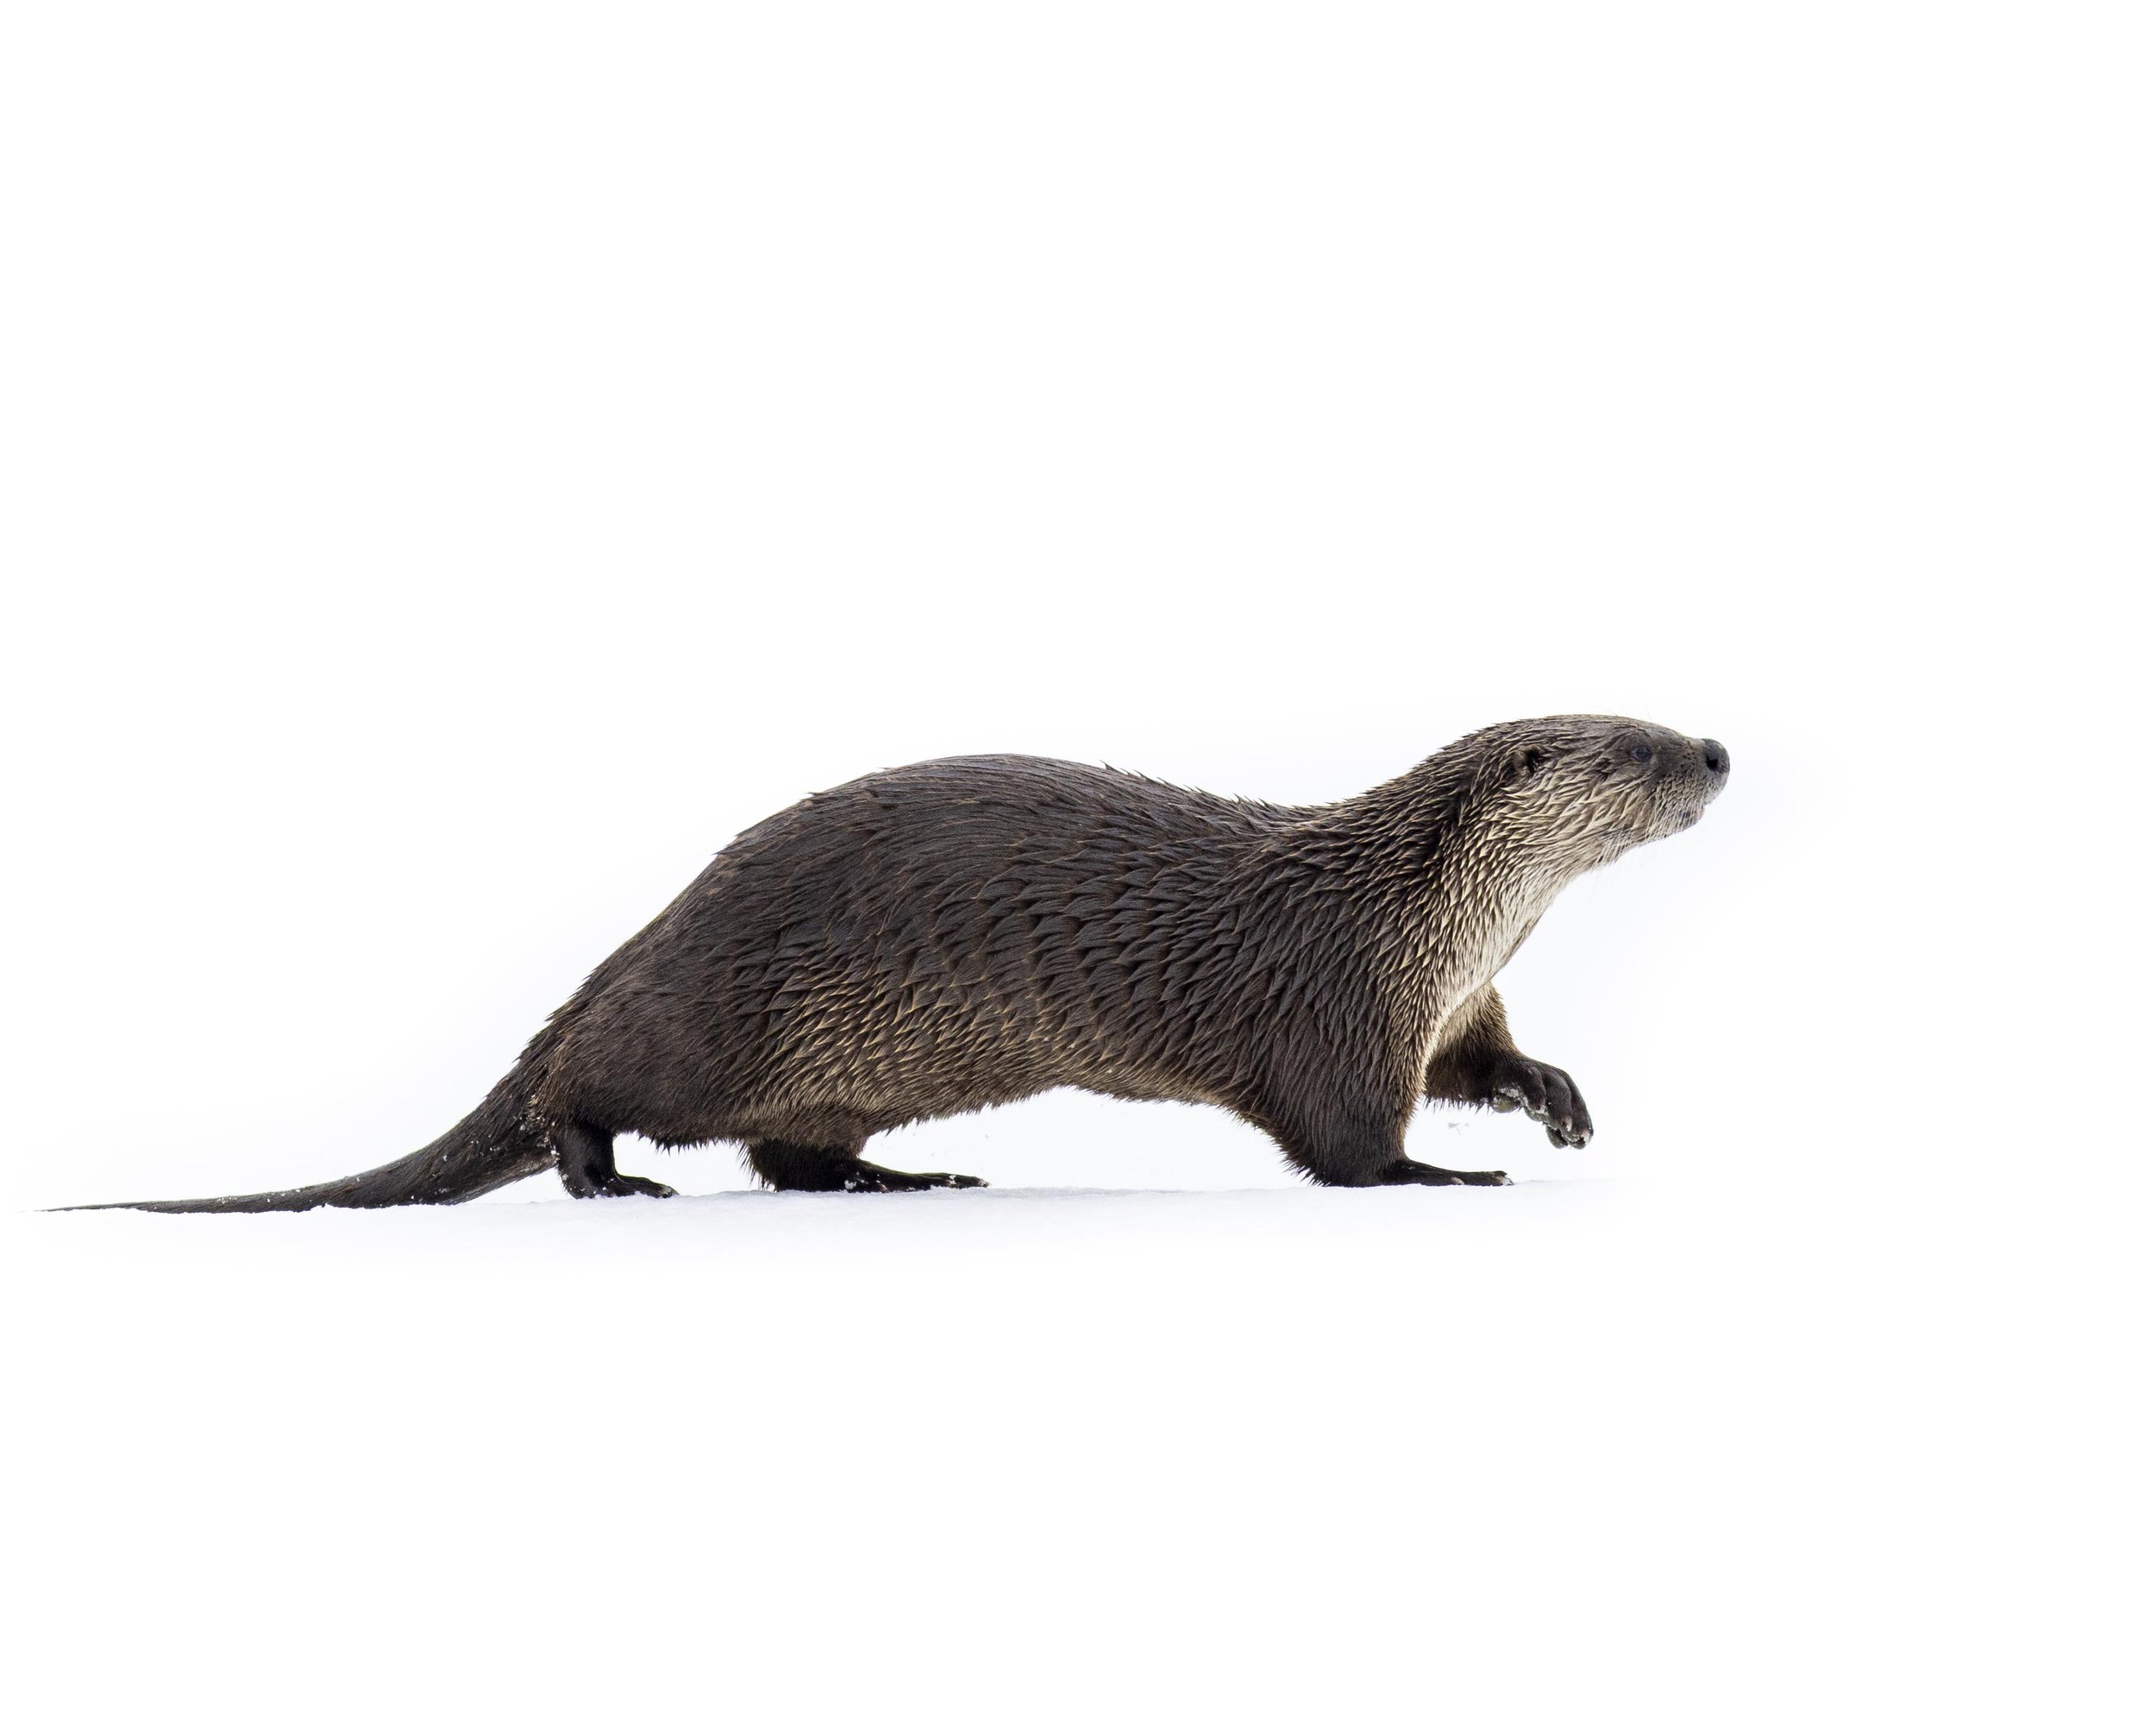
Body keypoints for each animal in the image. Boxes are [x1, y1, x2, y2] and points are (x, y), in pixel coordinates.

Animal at [70, 715, 1727, 1211]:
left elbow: (1486, 1064)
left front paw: (1554, 1100)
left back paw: (898, 1176)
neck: (1422, 918)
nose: (1713, 749)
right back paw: (604, 1176)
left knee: (789, 1158)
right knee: (582, 1091)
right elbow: (1346, 1145)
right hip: (702, 1017)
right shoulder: (1335, 1005)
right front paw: (1445, 1176)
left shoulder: (1448, 1004)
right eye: (1635, 742)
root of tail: (640, 941)